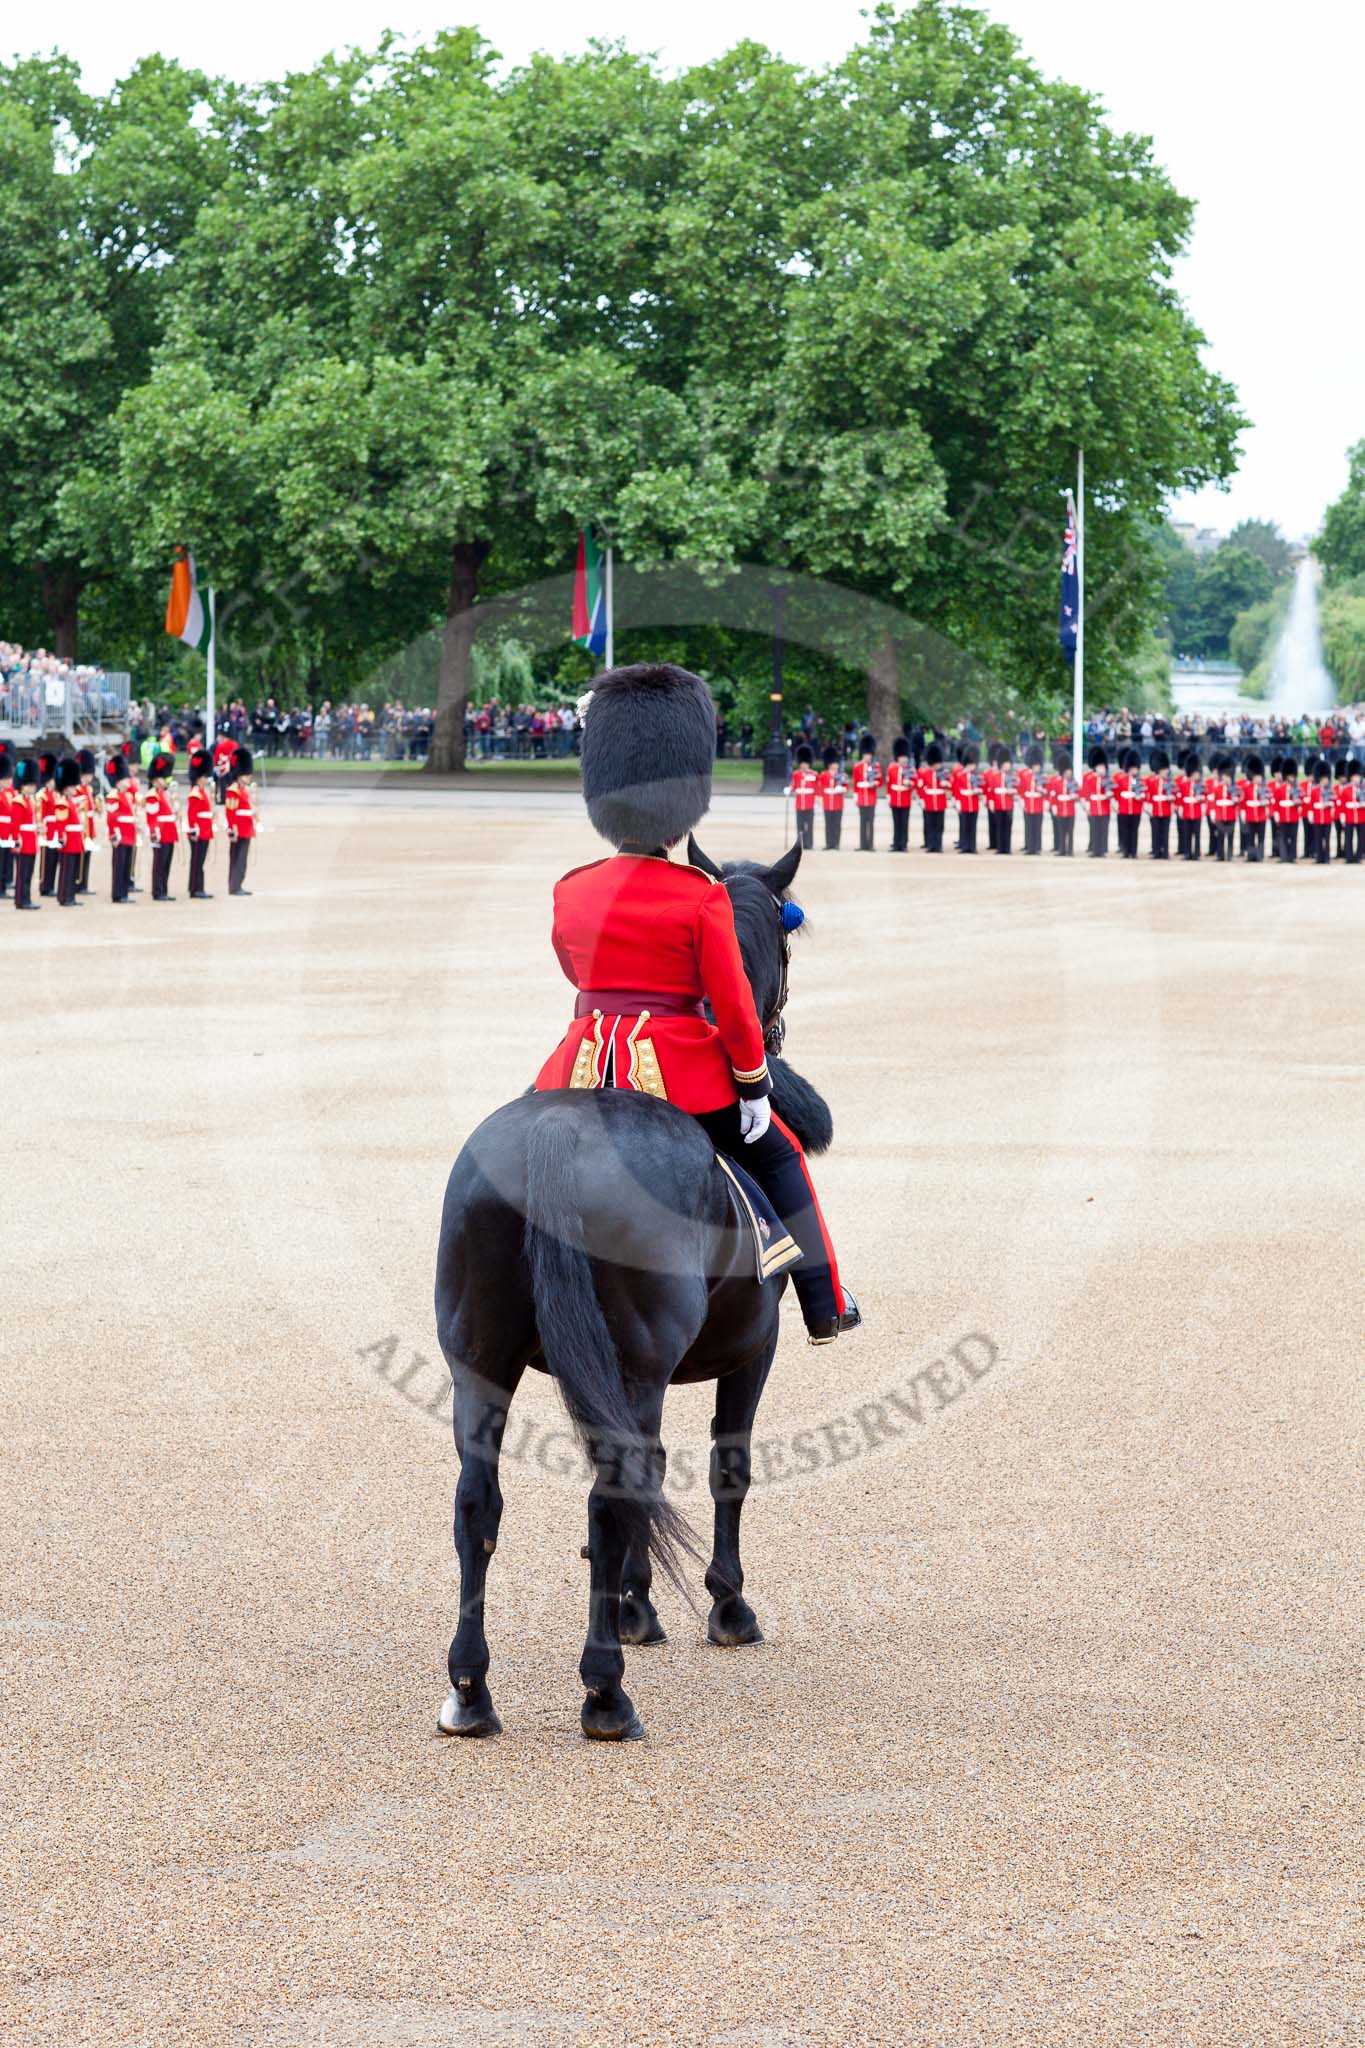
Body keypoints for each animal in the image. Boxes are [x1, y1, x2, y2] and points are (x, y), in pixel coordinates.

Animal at [435, 839, 834, 1736]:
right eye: (785, 943)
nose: (773, 1039)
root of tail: (556, 1131)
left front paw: (630, 1602)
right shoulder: (754, 1350)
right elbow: (728, 1465)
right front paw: (720, 1606)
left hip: (479, 1359)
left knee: (479, 1501)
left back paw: (470, 1691)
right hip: (640, 1364)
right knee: (610, 1491)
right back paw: (605, 1694)